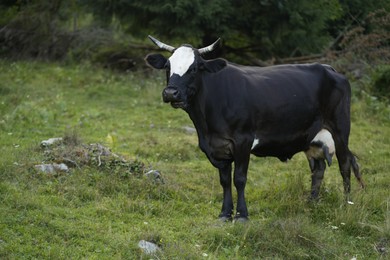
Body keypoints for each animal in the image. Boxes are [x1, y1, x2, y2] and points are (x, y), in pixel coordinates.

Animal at [145, 35, 364, 221]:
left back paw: (346, 203)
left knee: (345, 165)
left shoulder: (243, 140)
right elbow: (225, 180)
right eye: (167, 66)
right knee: (317, 168)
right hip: (312, 137)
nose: (171, 92)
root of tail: (330, 68)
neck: (206, 125)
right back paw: (312, 203)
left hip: (340, 129)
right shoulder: (216, 147)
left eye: (195, 68)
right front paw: (225, 214)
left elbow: (239, 178)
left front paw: (242, 215)